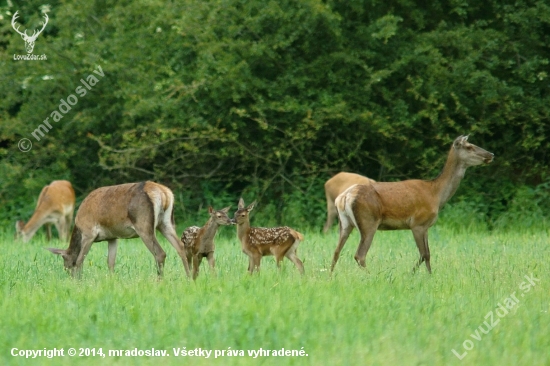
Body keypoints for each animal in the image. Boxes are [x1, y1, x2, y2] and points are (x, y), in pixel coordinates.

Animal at [48, 180, 194, 278]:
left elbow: (79, 260)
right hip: (166, 223)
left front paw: (79, 281)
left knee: (160, 253)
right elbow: (110, 262)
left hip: (143, 224)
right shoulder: (113, 237)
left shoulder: (89, 233)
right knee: (181, 247)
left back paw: (160, 281)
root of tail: (164, 193)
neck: (78, 227)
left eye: (65, 261)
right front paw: (111, 281)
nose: (69, 275)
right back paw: (189, 278)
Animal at [332, 136, 496, 274]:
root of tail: (344, 197)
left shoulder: (426, 226)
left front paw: (427, 275)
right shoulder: (418, 223)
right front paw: (415, 274)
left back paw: (330, 276)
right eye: (469, 147)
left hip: (345, 223)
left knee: (336, 251)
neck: (436, 194)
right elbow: (424, 254)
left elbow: (427, 254)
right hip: (369, 221)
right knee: (359, 255)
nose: (491, 154)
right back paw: (372, 276)